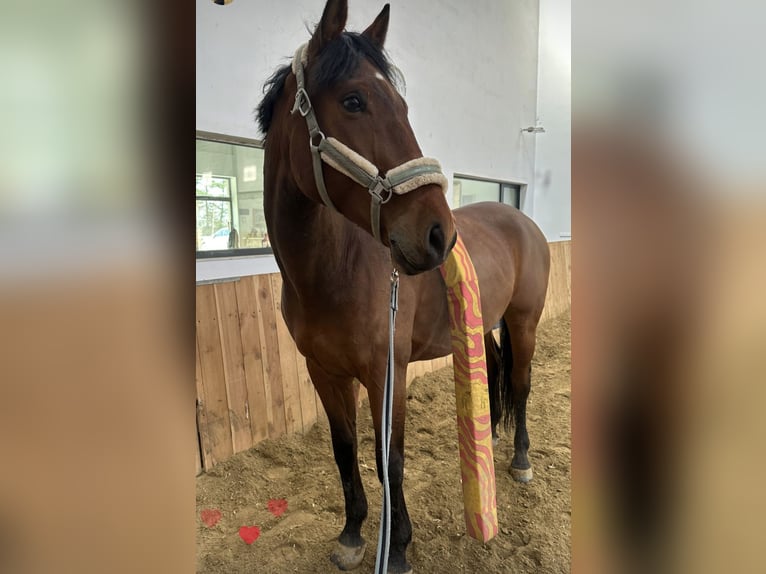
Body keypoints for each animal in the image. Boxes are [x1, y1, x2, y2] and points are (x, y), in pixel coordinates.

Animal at [258, 2, 552, 572]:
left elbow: (388, 459)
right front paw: (353, 534)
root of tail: (523, 220)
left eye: (404, 105)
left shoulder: (384, 372)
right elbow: (344, 450)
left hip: (524, 322)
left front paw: (397, 548)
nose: (439, 234)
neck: (333, 271)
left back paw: (521, 459)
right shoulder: (324, 372)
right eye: (354, 100)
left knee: (522, 383)